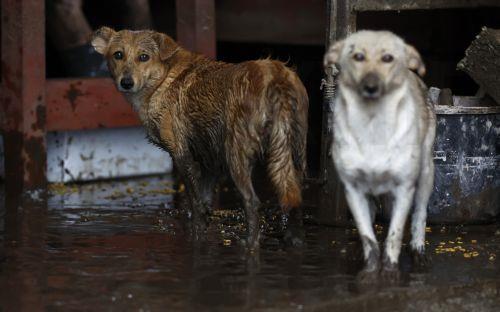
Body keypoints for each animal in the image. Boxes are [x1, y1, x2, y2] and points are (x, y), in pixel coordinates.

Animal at [91, 28, 308, 250]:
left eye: (144, 57)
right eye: (118, 54)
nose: (126, 82)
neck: (163, 79)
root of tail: (276, 77)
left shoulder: (183, 157)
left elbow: (195, 206)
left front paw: (195, 239)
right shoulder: (211, 163)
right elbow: (205, 205)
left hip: (236, 155)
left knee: (252, 201)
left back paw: (250, 244)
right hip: (295, 152)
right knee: (295, 197)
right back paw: (295, 240)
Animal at [326, 30, 436, 282]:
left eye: (388, 58)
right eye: (358, 56)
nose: (370, 86)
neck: (372, 124)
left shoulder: (404, 188)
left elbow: (395, 235)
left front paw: (389, 272)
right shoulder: (354, 189)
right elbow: (368, 236)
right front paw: (369, 271)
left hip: (426, 174)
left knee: (420, 214)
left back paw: (418, 250)